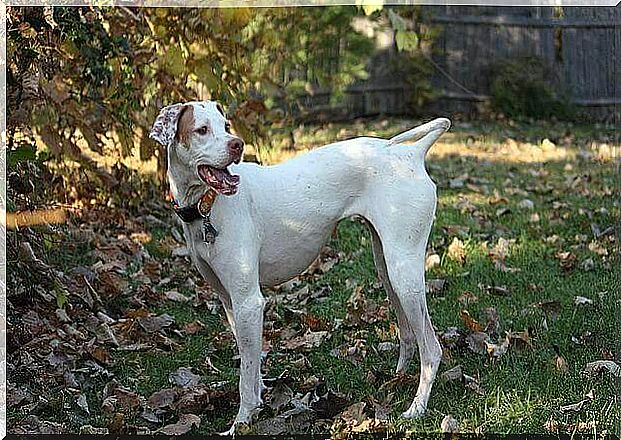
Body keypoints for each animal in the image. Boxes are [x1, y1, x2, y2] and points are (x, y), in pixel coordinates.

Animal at [151, 101, 450, 434]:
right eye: (202, 130)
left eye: (226, 126)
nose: (237, 144)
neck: (208, 207)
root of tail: (410, 154)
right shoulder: (230, 303)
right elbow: (250, 362)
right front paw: (258, 400)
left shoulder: (248, 303)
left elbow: (245, 375)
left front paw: (241, 422)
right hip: (387, 268)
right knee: (409, 336)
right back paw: (397, 380)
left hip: (404, 273)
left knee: (431, 349)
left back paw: (417, 408)